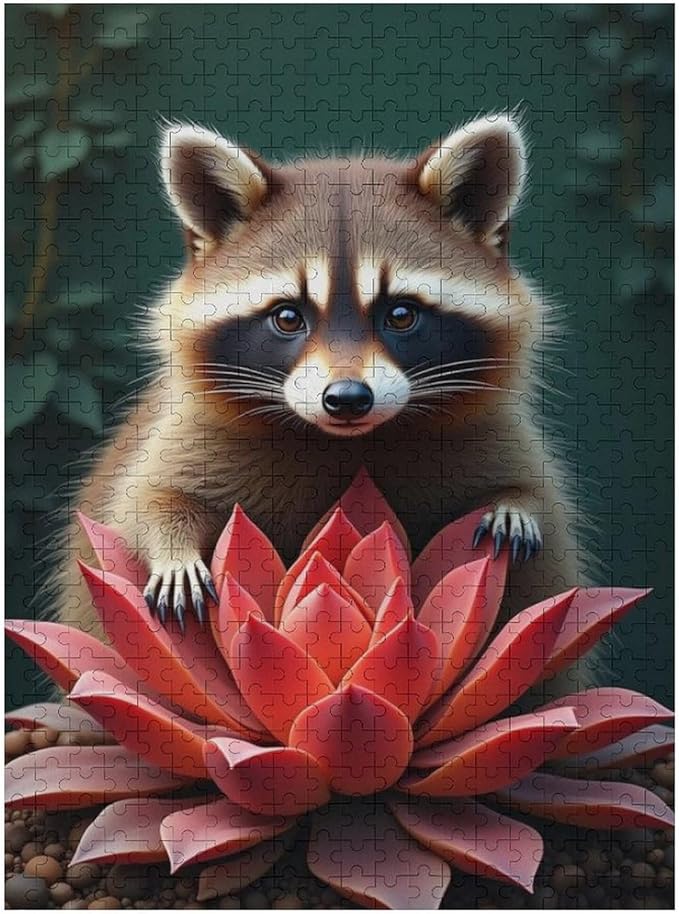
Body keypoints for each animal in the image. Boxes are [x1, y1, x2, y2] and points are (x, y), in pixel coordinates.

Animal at [57, 114, 589, 668]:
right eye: (288, 317)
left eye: (401, 314)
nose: (348, 398)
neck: (347, 443)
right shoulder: (183, 433)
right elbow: (145, 501)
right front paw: (172, 550)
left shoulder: (493, 433)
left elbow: (536, 495)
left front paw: (514, 505)